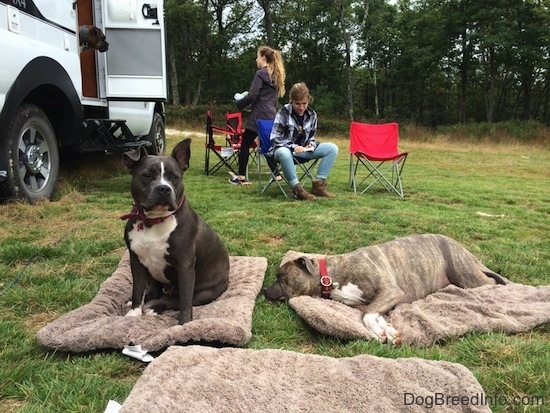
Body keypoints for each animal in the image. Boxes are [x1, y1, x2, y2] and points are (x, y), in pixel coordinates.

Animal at [121, 138, 231, 326]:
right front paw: (134, 313)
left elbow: (185, 302)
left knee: (174, 300)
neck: (153, 221)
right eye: (147, 175)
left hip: (205, 293)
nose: (164, 188)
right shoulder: (136, 261)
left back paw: (156, 307)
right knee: (155, 290)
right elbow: (137, 290)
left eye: (174, 177)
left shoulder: (184, 266)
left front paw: (183, 326)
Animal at [266, 233, 506, 342]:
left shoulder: (390, 291)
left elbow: (367, 314)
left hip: (466, 275)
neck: (331, 276)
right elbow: (369, 311)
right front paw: (384, 327)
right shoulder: (373, 301)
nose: (265, 290)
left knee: (494, 282)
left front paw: (380, 329)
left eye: (280, 276)